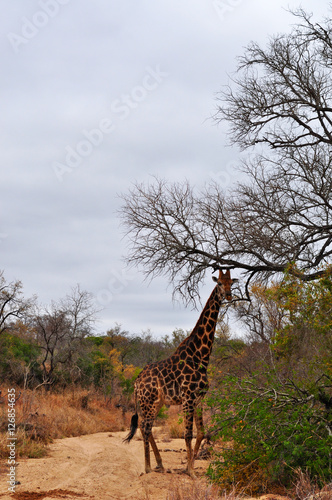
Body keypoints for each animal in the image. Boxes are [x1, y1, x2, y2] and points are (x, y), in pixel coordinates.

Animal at [124, 270, 236, 476]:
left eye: (231, 282)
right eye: (219, 283)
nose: (228, 295)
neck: (201, 356)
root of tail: (136, 382)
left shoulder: (199, 398)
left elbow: (201, 432)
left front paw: (189, 466)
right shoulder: (188, 398)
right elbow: (187, 434)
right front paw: (190, 471)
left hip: (157, 402)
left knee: (146, 427)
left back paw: (160, 464)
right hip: (148, 401)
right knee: (146, 427)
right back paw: (148, 467)